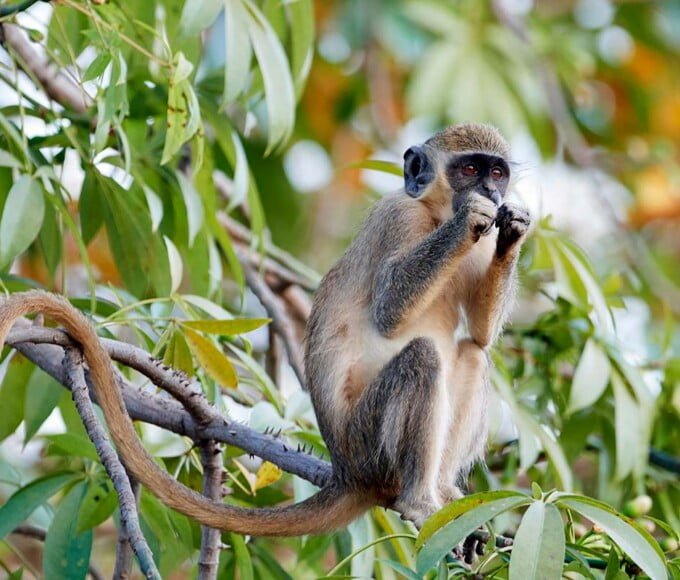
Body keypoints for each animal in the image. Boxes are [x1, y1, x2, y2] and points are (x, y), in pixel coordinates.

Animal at [0, 123, 529, 536]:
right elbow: (389, 310)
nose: (493, 194)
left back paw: (444, 493)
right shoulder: (398, 217)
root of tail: (347, 471)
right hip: (369, 443)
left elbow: (482, 334)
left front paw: (514, 228)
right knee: (424, 357)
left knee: (472, 355)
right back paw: (419, 500)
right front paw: (472, 217)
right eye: (469, 170)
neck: (436, 215)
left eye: (497, 173)